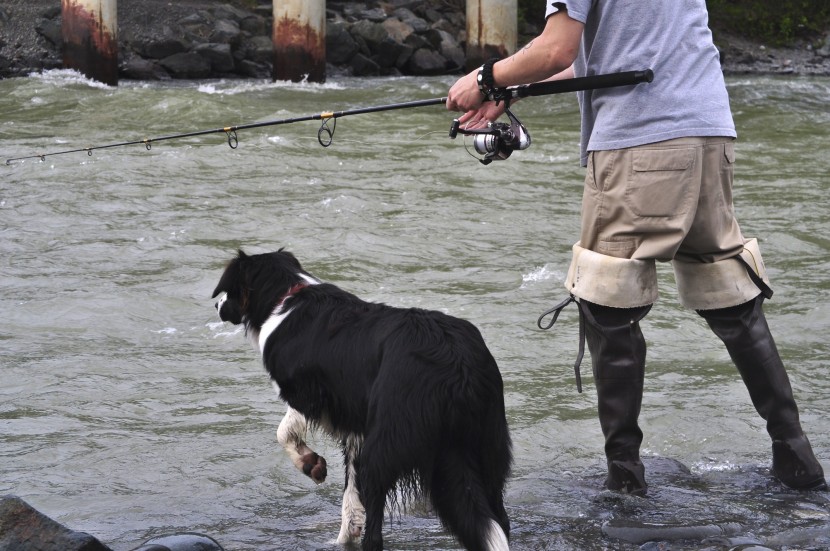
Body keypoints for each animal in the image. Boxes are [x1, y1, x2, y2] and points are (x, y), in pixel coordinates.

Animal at [213, 250, 512, 551]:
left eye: (228, 290)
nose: (217, 304)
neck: (285, 296)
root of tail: (456, 364)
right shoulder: (357, 426)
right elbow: (351, 496)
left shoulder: (308, 396)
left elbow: (283, 432)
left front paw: (311, 464)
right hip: (487, 447)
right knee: (499, 518)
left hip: (387, 445)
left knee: (377, 522)